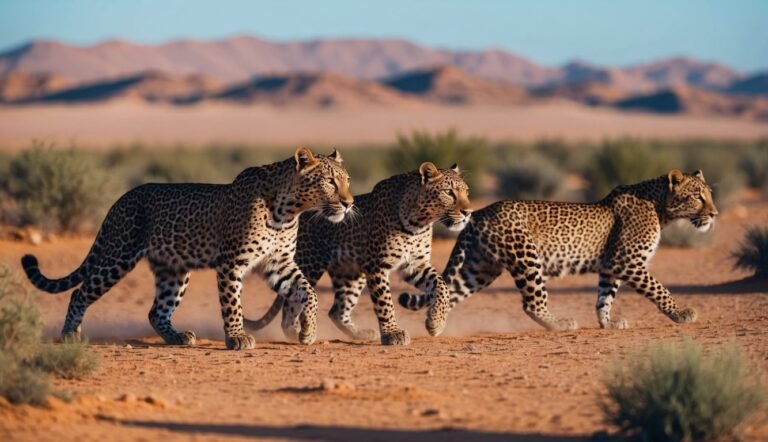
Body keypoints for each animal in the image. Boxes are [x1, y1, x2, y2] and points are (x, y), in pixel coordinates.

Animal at [20, 148, 352, 348]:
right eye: (329, 182)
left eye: (347, 180)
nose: (349, 203)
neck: (288, 211)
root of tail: (121, 199)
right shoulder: (232, 263)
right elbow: (232, 303)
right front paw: (236, 337)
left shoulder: (278, 262)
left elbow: (307, 291)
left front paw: (307, 330)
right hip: (118, 256)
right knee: (80, 292)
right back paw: (69, 335)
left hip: (174, 270)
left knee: (156, 311)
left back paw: (177, 337)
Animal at [246, 162, 474, 346]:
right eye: (449, 192)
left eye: (466, 192)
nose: (468, 212)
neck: (419, 222)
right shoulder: (378, 266)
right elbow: (385, 303)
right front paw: (392, 334)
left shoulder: (415, 264)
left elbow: (442, 286)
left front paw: (435, 323)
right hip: (309, 265)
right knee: (292, 302)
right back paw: (299, 334)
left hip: (350, 274)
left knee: (336, 311)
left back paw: (360, 334)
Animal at [400, 169, 716, 332]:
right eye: (697, 196)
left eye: (709, 194)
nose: (714, 214)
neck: (660, 208)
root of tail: (478, 213)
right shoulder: (627, 262)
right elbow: (659, 289)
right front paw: (681, 313)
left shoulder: (611, 267)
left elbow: (605, 298)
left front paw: (608, 323)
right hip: (526, 257)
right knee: (532, 303)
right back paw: (560, 324)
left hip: (480, 268)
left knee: (451, 292)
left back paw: (435, 324)